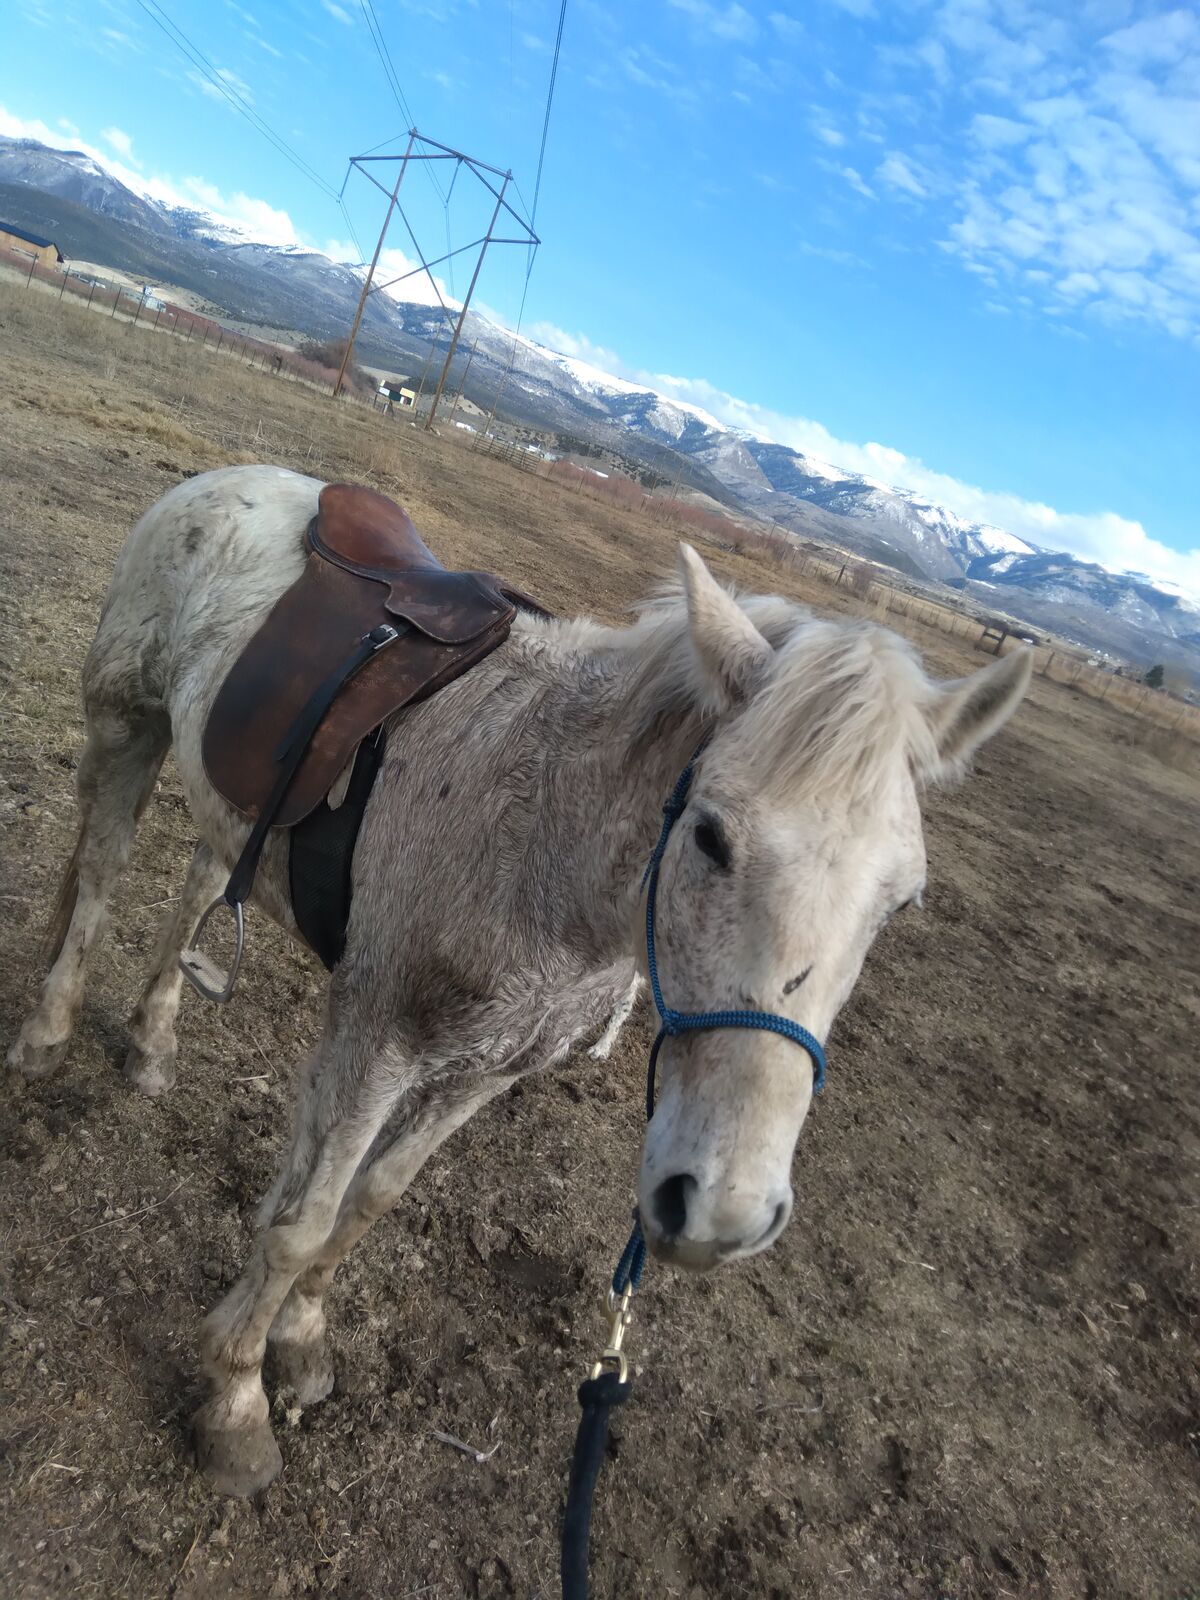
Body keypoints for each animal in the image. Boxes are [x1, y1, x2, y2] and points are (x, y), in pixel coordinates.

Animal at [7, 464, 1032, 1496]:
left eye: (902, 900)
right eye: (709, 835)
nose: (724, 1210)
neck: (543, 828)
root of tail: (234, 479)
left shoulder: (487, 1069)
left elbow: (367, 1205)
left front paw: (299, 1340)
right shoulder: (376, 1039)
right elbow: (303, 1220)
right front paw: (236, 1402)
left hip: (234, 800)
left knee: (197, 887)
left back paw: (151, 1041)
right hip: (125, 724)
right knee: (98, 877)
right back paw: (47, 1034)